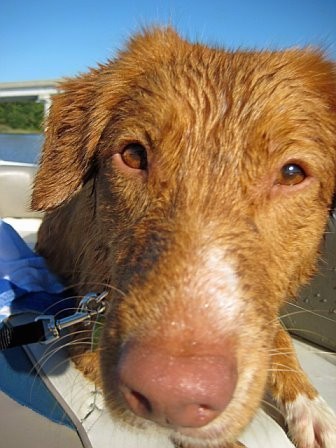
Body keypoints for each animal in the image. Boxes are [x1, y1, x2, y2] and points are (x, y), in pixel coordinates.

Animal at [32, 28, 336, 448]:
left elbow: (279, 335)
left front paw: (311, 405)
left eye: (292, 172)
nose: (170, 392)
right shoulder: (85, 340)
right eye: (133, 154)